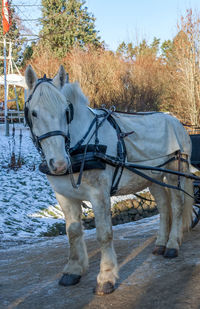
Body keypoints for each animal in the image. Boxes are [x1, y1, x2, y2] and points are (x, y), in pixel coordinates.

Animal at [24, 64, 193, 294]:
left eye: (66, 112)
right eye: (34, 113)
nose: (58, 164)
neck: (80, 146)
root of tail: (175, 120)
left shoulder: (99, 193)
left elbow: (104, 234)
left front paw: (106, 277)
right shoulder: (64, 195)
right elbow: (73, 232)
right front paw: (73, 270)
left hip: (174, 172)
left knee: (176, 206)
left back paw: (173, 245)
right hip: (152, 178)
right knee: (164, 208)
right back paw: (160, 243)